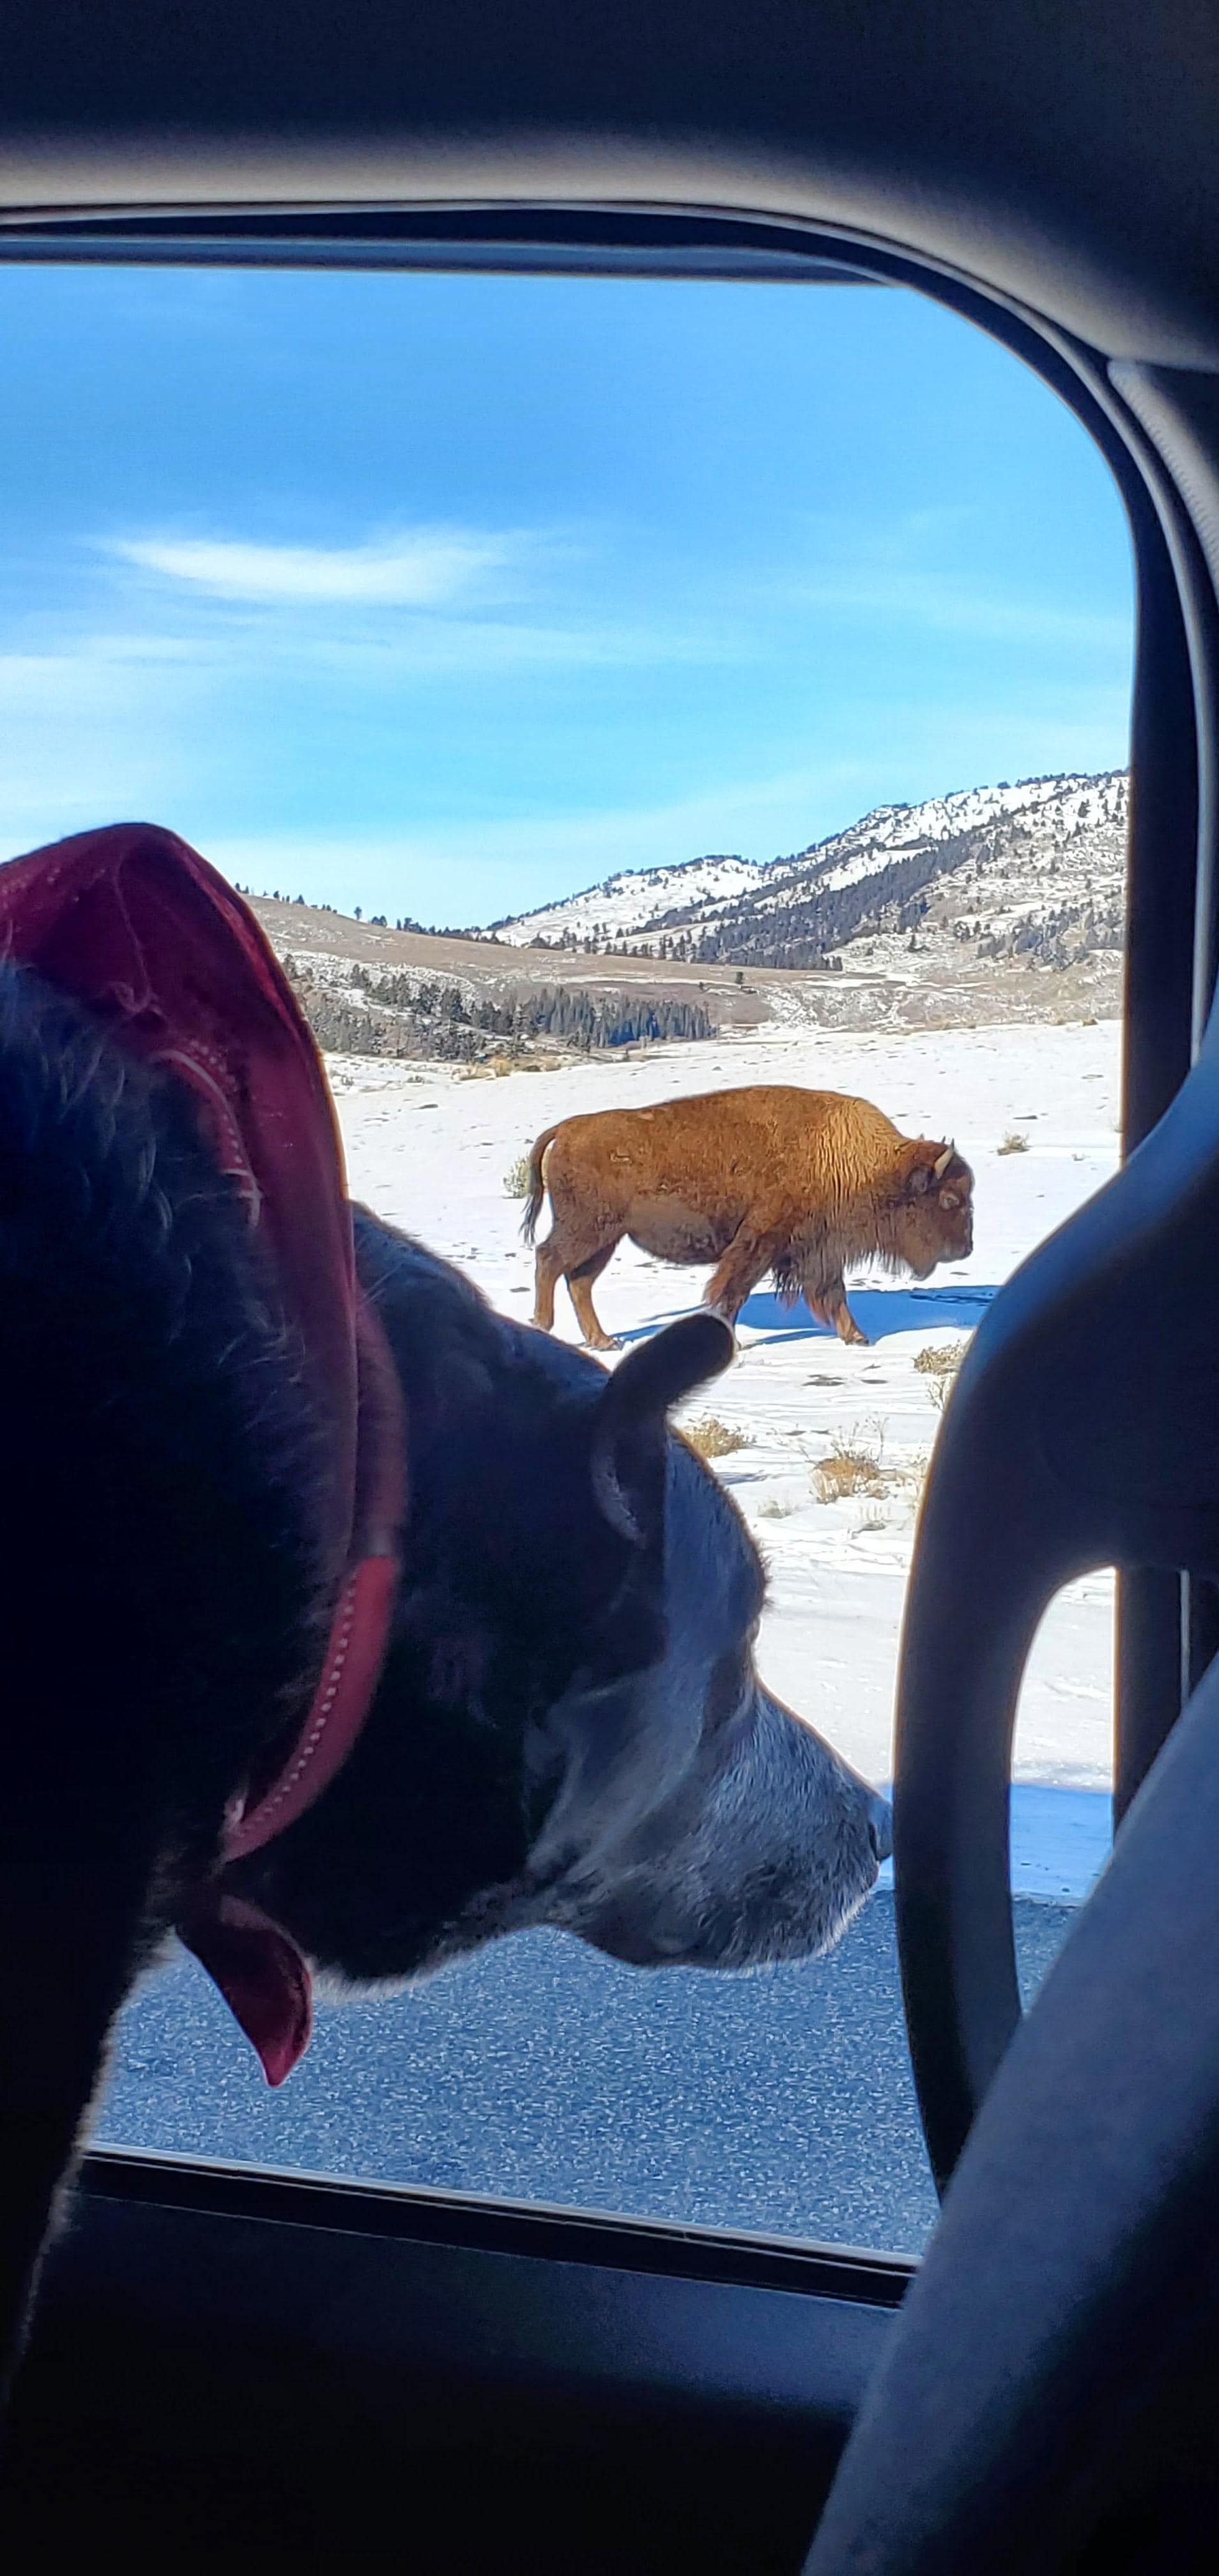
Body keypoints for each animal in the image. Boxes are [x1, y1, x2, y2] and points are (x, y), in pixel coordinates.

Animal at [524, 1083, 974, 1348]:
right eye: (950, 1199)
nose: (966, 1249)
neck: (860, 1163)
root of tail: (567, 1129)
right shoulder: (761, 1240)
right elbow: (733, 1289)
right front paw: (733, 1344)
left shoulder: (820, 1249)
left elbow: (835, 1293)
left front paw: (857, 1337)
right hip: (587, 1230)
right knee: (550, 1260)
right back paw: (543, 1326)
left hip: (605, 1238)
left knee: (579, 1281)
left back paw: (604, 1341)